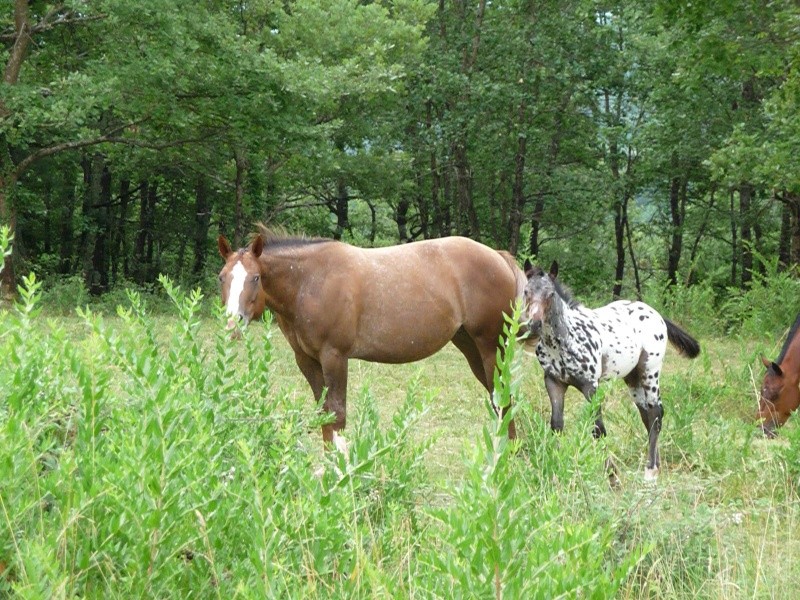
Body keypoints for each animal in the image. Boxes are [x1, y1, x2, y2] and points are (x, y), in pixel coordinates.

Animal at [219, 227, 528, 448]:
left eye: (255, 278)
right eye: (222, 277)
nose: (233, 323)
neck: (311, 281)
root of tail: (498, 256)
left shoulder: (334, 357)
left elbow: (338, 414)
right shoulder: (306, 361)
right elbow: (324, 414)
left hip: (490, 347)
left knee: (503, 399)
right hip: (470, 346)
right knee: (497, 398)